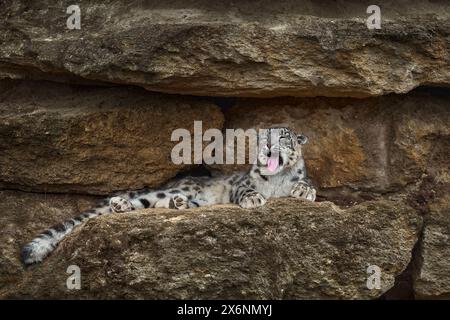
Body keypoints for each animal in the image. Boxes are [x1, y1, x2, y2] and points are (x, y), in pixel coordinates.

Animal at [21, 127, 316, 264]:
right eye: (265, 136)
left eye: (283, 137)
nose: (269, 146)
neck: (275, 180)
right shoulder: (240, 184)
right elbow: (247, 188)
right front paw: (254, 198)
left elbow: (307, 184)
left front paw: (304, 191)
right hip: (168, 189)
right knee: (139, 201)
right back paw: (121, 202)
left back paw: (177, 204)